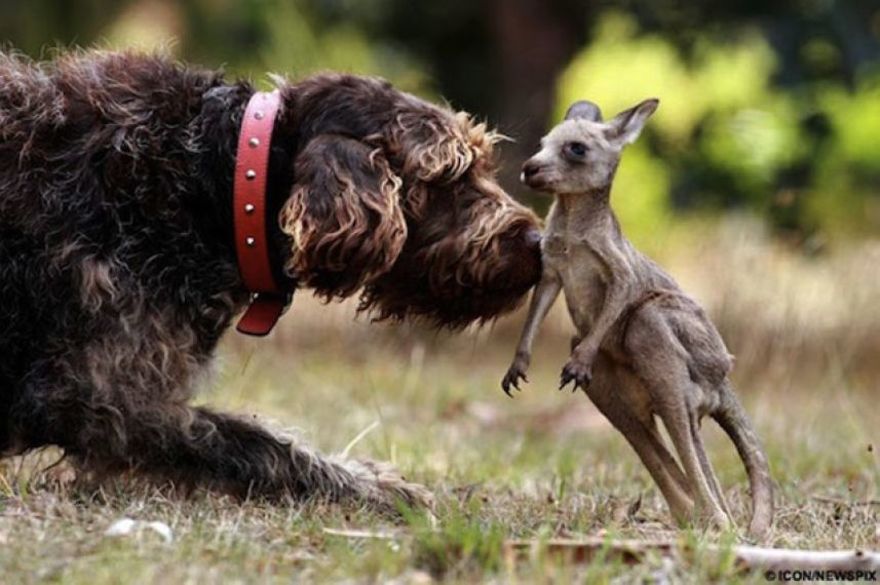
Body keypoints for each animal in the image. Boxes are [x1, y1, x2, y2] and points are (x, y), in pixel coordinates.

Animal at [0, 50, 544, 506]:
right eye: (448, 176)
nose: (537, 241)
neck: (221, 178)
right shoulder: (101, 399)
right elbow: (260, 444)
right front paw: (376, 487)